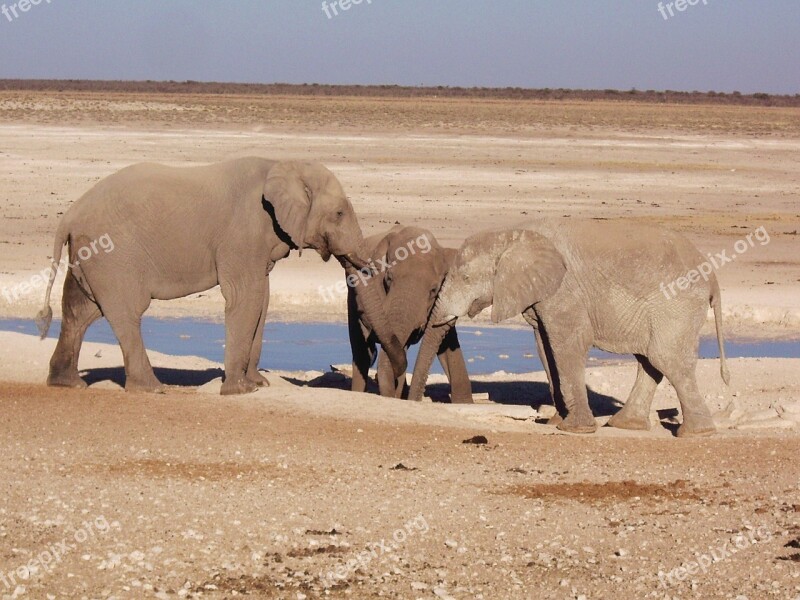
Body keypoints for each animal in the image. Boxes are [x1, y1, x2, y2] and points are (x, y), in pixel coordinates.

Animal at [36, 157, 406, 396]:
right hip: (114, 255)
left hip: (90, 255)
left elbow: (262, 300)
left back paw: (68, 384)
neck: (285, 163)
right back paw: (152, 389)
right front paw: (239, 391)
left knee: (81, 312)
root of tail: (69, 216)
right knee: (126, 313)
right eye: (339, 213)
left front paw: (258, 385)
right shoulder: (243, 232)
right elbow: (246, 297)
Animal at [410, 220, 728, 436]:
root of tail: (712, 275)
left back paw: (695, 433)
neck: (514, 233)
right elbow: (545, 347)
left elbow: (567, 343)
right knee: (650, 360)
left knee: (666, 358)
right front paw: (556, 421)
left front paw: (574, 429)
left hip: (676, 306)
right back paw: (624, 425)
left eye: (465, 278)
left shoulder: (564, 292)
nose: (413, 400)